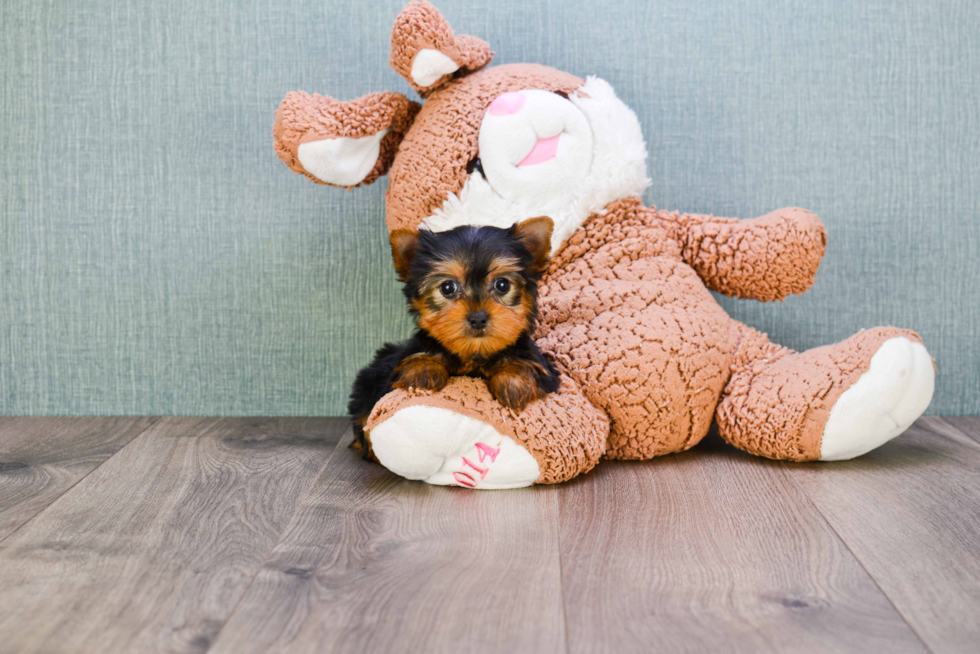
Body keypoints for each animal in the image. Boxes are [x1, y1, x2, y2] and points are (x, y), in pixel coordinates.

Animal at [346, 218, 560, 458]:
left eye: (502, 284)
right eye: (448, 287)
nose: (478, 318)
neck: (474, 354)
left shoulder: (544, 370)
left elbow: (525, 365)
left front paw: (513, 383)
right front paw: (424, 372)